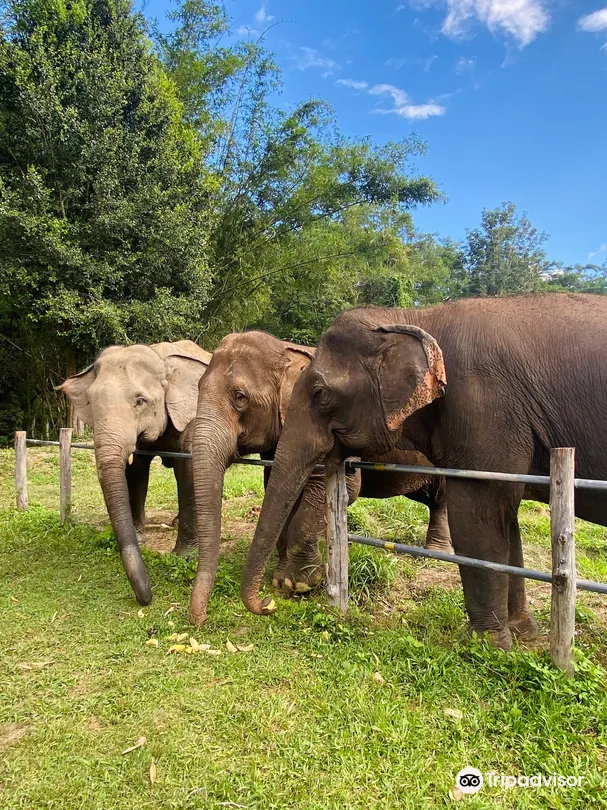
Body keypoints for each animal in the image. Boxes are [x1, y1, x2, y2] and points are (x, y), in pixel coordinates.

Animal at [58, 340, 211, 605]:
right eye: (90, 402)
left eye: (140, 401)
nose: (146, 599)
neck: (159, 356)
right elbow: (137, 470)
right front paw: (140, 539)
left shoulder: (192, 415)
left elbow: (189, 469)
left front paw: (183, 556)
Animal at [187, 330, 451, 626]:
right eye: (198, 387)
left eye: (240, 397)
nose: (201, 619)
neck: (287, 350)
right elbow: (280, 488)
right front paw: (280, 579)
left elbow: (344, 486)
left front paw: (299, 584)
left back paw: (439, 554)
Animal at [240, 293, 607, 650]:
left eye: (319, 394)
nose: (268, 604)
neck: (415, 317)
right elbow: (505, 519)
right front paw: (523, 635)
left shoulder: (482, 409)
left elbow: (480, 513)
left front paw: (488, 647)